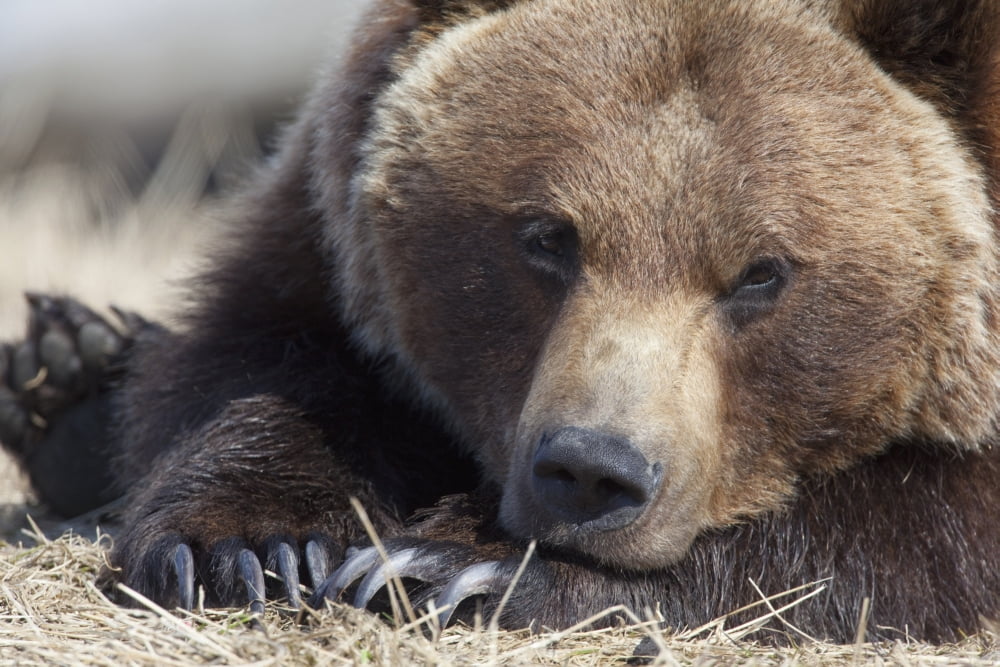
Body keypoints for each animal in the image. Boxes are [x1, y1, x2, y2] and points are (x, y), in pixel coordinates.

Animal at [2, 0, 1000, 644]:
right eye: (546, 236)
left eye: (762, 273)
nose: (591, 472)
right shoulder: (324, 233)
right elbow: (263, 360)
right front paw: (251, 545)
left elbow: (917, 528)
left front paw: (453, 561)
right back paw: (68, 373)